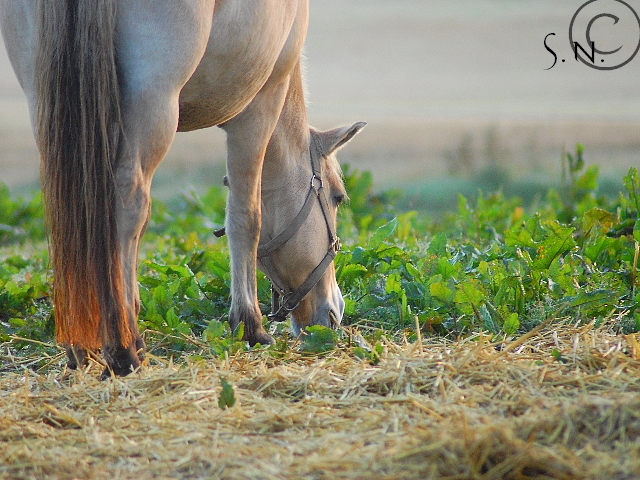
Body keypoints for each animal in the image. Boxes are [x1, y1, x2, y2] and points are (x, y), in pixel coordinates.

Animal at [0, 0, 364, 376]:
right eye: (338, 197)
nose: (335, 311)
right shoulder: (260, 103)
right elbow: (246, 217)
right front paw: (250, 326)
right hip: (155, 100)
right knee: (130, 206)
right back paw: (124, 349)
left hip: (47, 102)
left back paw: (81, 346)